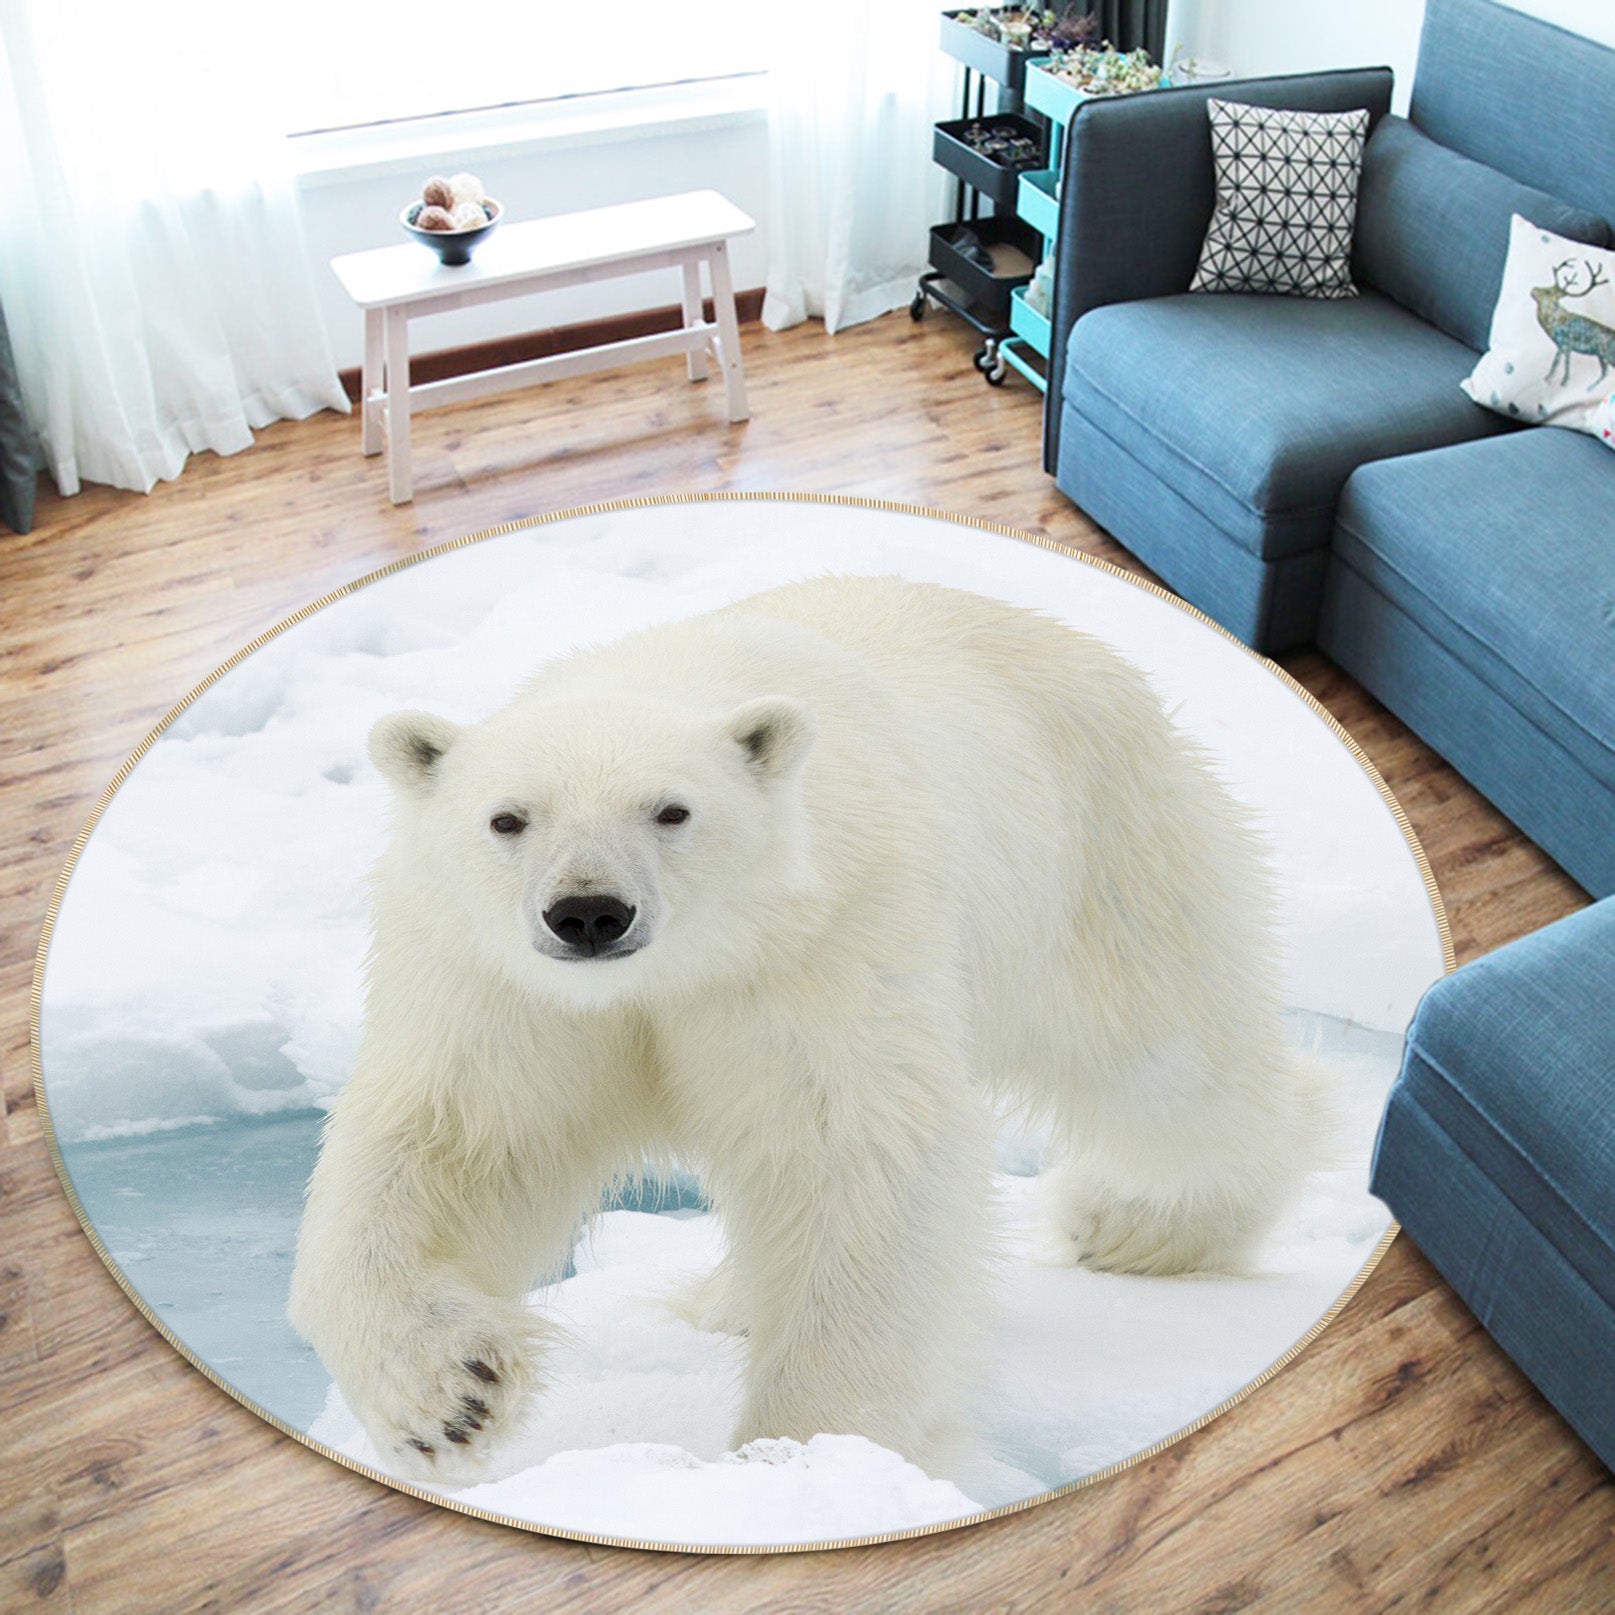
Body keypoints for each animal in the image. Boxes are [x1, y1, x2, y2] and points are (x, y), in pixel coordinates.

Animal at [288, 574, 1323, 1488]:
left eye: (672, 809)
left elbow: (852, 1153)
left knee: (1166, 1065)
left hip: (1099, 857)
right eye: (507, 818)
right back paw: (731, 1303)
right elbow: (455, 1142)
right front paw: (448, 1396)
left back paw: (1137, 1224)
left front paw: (802, 1454)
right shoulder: (502, 985)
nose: (588, 912)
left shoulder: (822, 941)